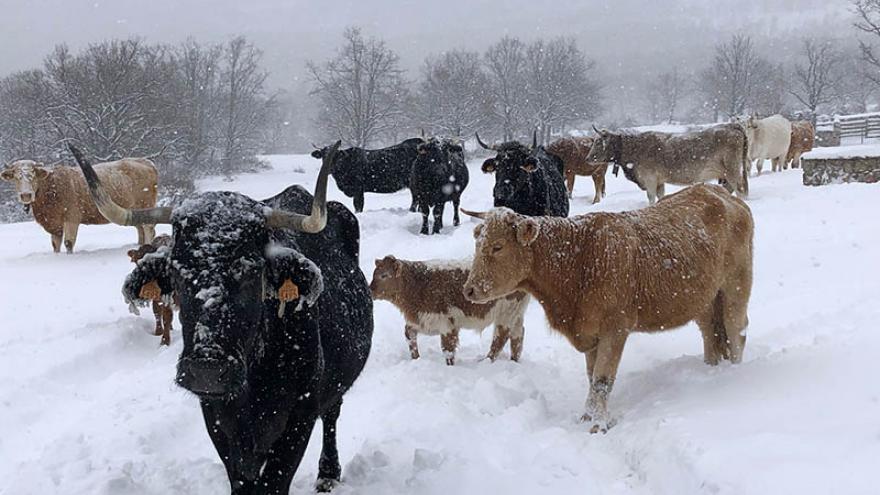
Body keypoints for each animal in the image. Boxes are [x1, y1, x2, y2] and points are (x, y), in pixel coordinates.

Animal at [1, 159, 159, 252]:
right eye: (16, 177)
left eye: (33, 175)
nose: (26, 195)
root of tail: (145, 161)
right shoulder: (54, 225)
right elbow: (55, 245)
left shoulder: (71, 218)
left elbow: (68, 243)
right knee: (141, 229)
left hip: (145, 204)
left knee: (148, 228)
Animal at [69, 141, 372, 494]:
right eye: (177, 269)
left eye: (251, 269)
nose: (207, 370)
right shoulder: (215, 416)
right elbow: (240, 478)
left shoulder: (300, 416)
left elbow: (275, 479)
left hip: (334, 388)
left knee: (332, 416)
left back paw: (328, 472)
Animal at [370, 256, 528, 364]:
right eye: (374, 273)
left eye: (384, 275)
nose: (370, 290)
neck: (419, 285)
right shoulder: (421, 320)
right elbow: (409, 335)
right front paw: (416, 358)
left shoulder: (446, 323)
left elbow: (448, 349)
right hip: (516, 312)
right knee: (517, 336)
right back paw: (514, 360)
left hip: (506, 310)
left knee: (500, 337)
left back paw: (485, 362)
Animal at [458, 183, 752, 434]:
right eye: (478, 243)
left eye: (498, 246)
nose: (469, 289)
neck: (579, 259)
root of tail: (719, 193)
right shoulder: (590, 332)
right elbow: (592, 377)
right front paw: (587, 416)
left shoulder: (615, 328)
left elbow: (602, 379)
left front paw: (598, 425)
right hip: (703, 300)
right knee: (711, 334)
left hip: (736, 287)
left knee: (736, 330)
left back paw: (735, 374)